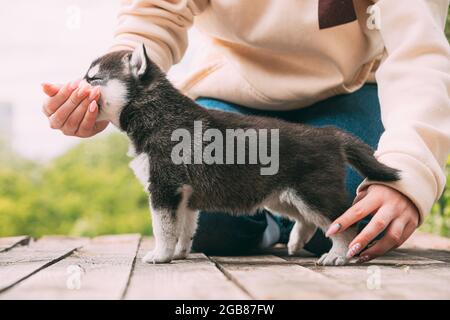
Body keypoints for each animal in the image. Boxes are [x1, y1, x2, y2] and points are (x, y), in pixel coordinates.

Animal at [82, 44, 400, 264]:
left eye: (93, 79)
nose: (76, 85)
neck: (156, 111)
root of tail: (331, 134)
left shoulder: (165, 189)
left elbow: (163, 228)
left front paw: (160, 255)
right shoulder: (184, 196)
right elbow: (184, 227)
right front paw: (181, 252)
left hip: (314, 194)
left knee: (346, 222)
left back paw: (340, 254)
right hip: (283, 197)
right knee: (308, 219)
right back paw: (296, 242)